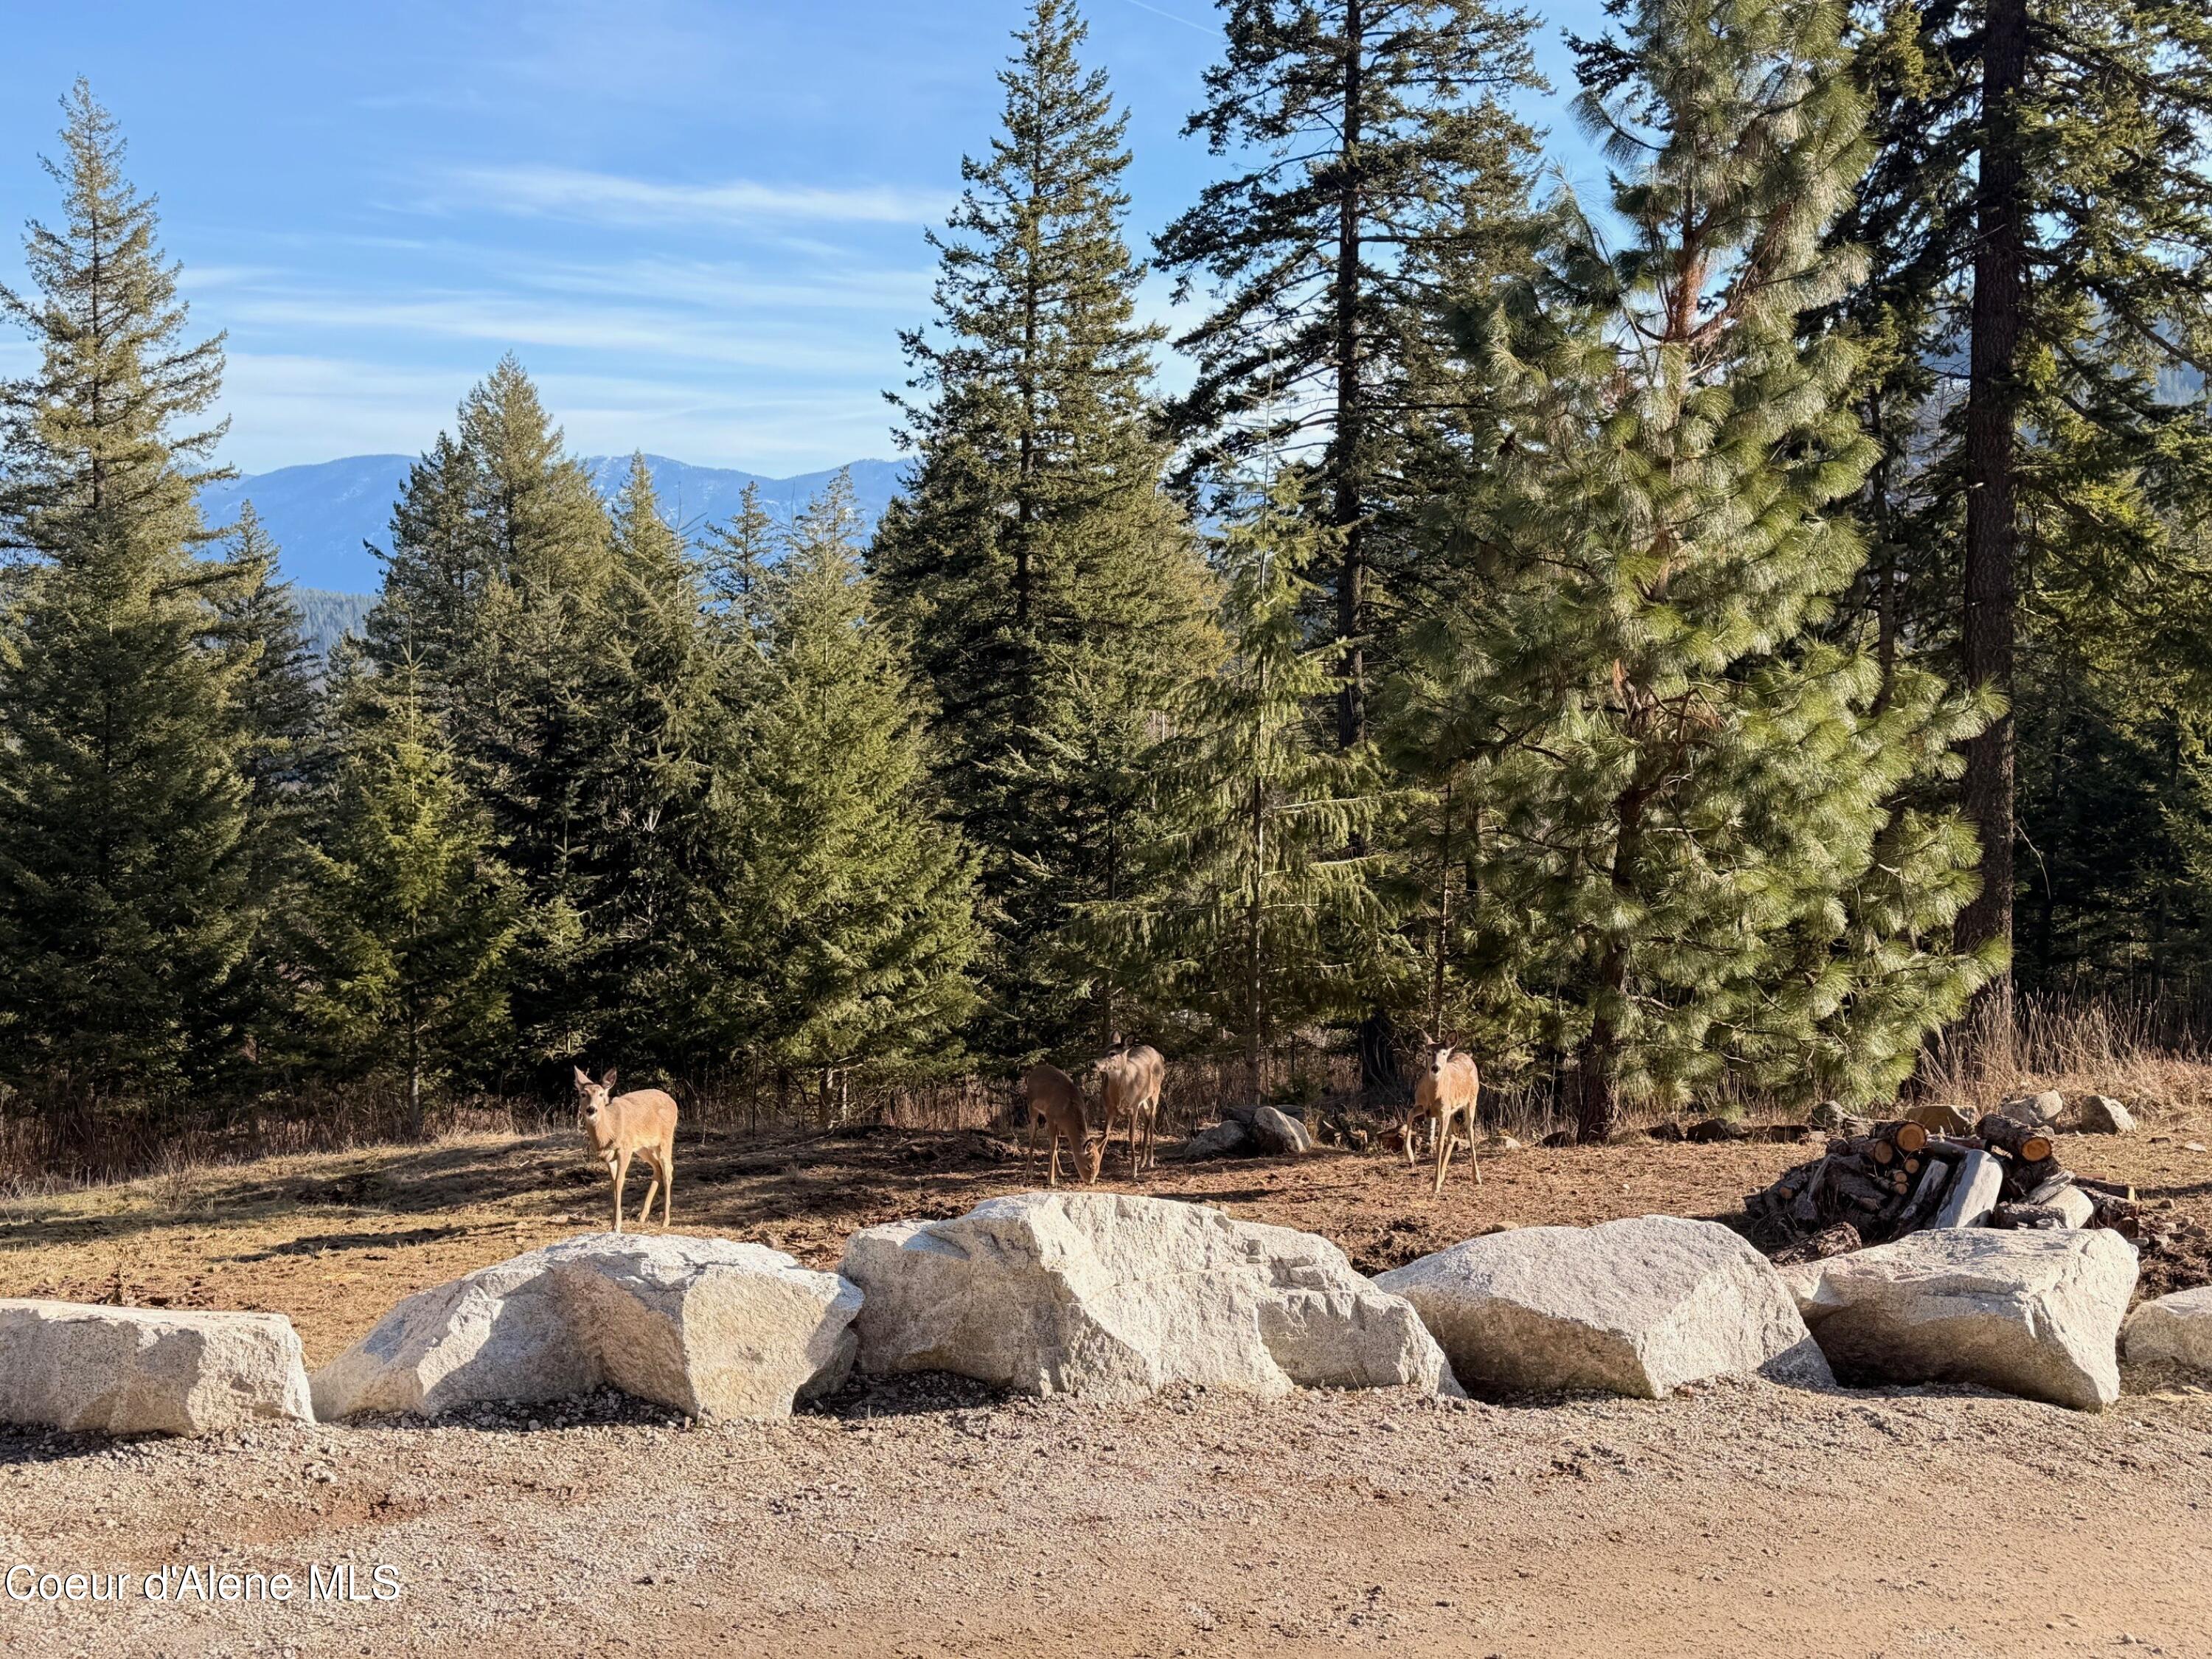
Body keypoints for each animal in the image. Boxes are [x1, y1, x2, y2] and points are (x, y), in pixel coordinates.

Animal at [573, 1066, 679, 1232]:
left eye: (601, 1094)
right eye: (583, 1094)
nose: (591, 1109)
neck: (608, 1132)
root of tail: (673, 1102)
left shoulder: (625, 1149)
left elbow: (619, 1181)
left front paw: (617, 1226)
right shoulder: (609, 1157)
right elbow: (613, 1184)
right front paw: (613, 1224)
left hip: (665, 1138)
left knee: (668, 1169)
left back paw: (665, 1220)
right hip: (644, 1146)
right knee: (657, 1168)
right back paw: (642, 1216)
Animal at [1022, 1061, 1102, 1187]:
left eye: (1098, 1166)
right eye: (1089, 1166)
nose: (1091, 1182)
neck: (1068, 1110)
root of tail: (1035, 1071)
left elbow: (1057, 1145)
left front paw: (1058, 1173)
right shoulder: (1050, 1116)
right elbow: (1053, 1145)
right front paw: (1050, 1180)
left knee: (1044, 1132)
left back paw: (1060, 1172)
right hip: (1032, 1107)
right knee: (1032, 1135)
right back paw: (1028, 1172)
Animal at [1094, 1043, 1166, 1178]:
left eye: (1112, 1053)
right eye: (1102, 1051)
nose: (1093, 1063)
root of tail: (1160, 1055)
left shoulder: (1133, 1108)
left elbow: (1131, 1135)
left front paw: (1134, 1170)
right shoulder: (1110, 1110)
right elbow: (1105, 1135)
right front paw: (1096, 1169)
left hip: (1155, 1092)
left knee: (1153, 1118)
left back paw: (1150, 1161)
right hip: (1142, 1101)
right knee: (1147, 1117)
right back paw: (1142, 1161)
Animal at [1402, 1039, 1481, 1196]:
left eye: (1444, 1053)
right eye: (1428, 1052)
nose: (1435, 1068)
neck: (1432, 1096)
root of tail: (1468, 1058)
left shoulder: (1443, 1111)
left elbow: (1439, 1144)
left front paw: (1435, 1185)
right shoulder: (1422, 1106)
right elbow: (1409, 1115)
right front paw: (1409, 1156)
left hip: (1471, 1100)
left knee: (1470, 1132)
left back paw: (1476, 1177)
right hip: (1451, 1112)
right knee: (1453, 1135)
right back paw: (1442, 1175)